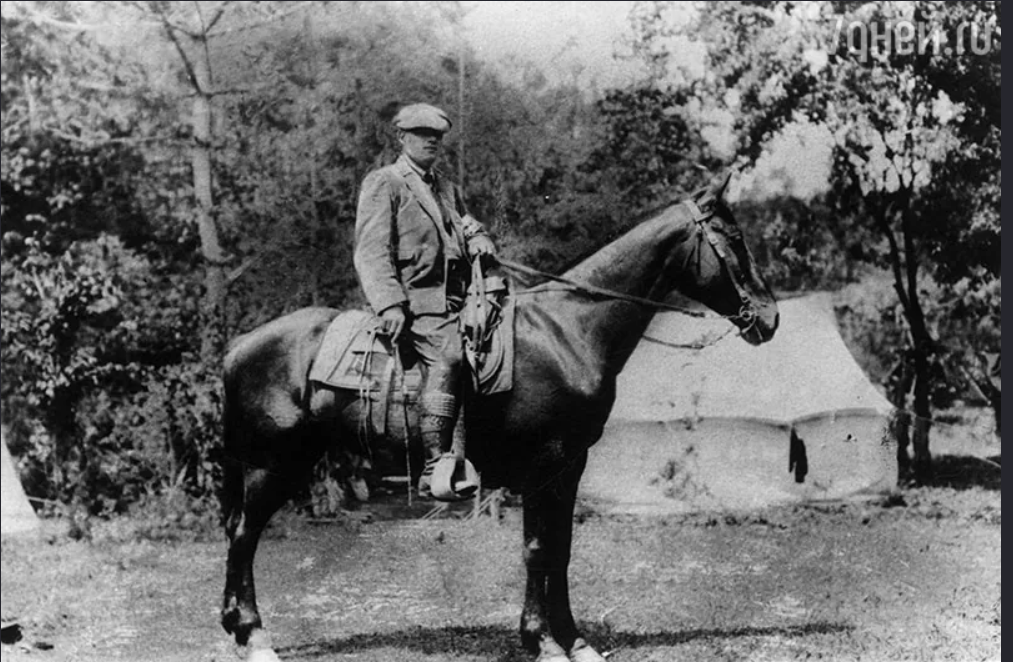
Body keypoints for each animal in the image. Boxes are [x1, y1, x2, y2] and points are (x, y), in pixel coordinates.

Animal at [219, 173, 779, 662]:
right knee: (244, 533)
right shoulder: (544, 464)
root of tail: (240, 345)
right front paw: (544, 642)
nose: (770, 318)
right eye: (733, 238)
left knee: (240, 531)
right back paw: (255, 636)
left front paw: (575, 640)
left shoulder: (569, 466)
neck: (567, 331)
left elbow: (561, 550)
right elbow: (537, 548)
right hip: (273, 464)